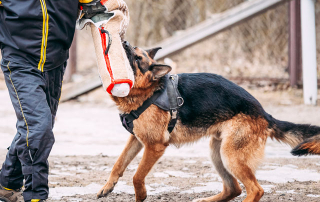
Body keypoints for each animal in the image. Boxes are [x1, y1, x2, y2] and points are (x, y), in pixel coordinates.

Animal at [96, 41, 320, 202]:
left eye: (137, 57)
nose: (124, 41)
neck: (148, 91)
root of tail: (264, 113)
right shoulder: (136, 140)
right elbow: (118, 163)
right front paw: (107, 187)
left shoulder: (154, 146)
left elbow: (137, 176)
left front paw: (140, 195)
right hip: (217, 152)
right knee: (233, 189)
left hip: (230, 155)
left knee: (256, 190)